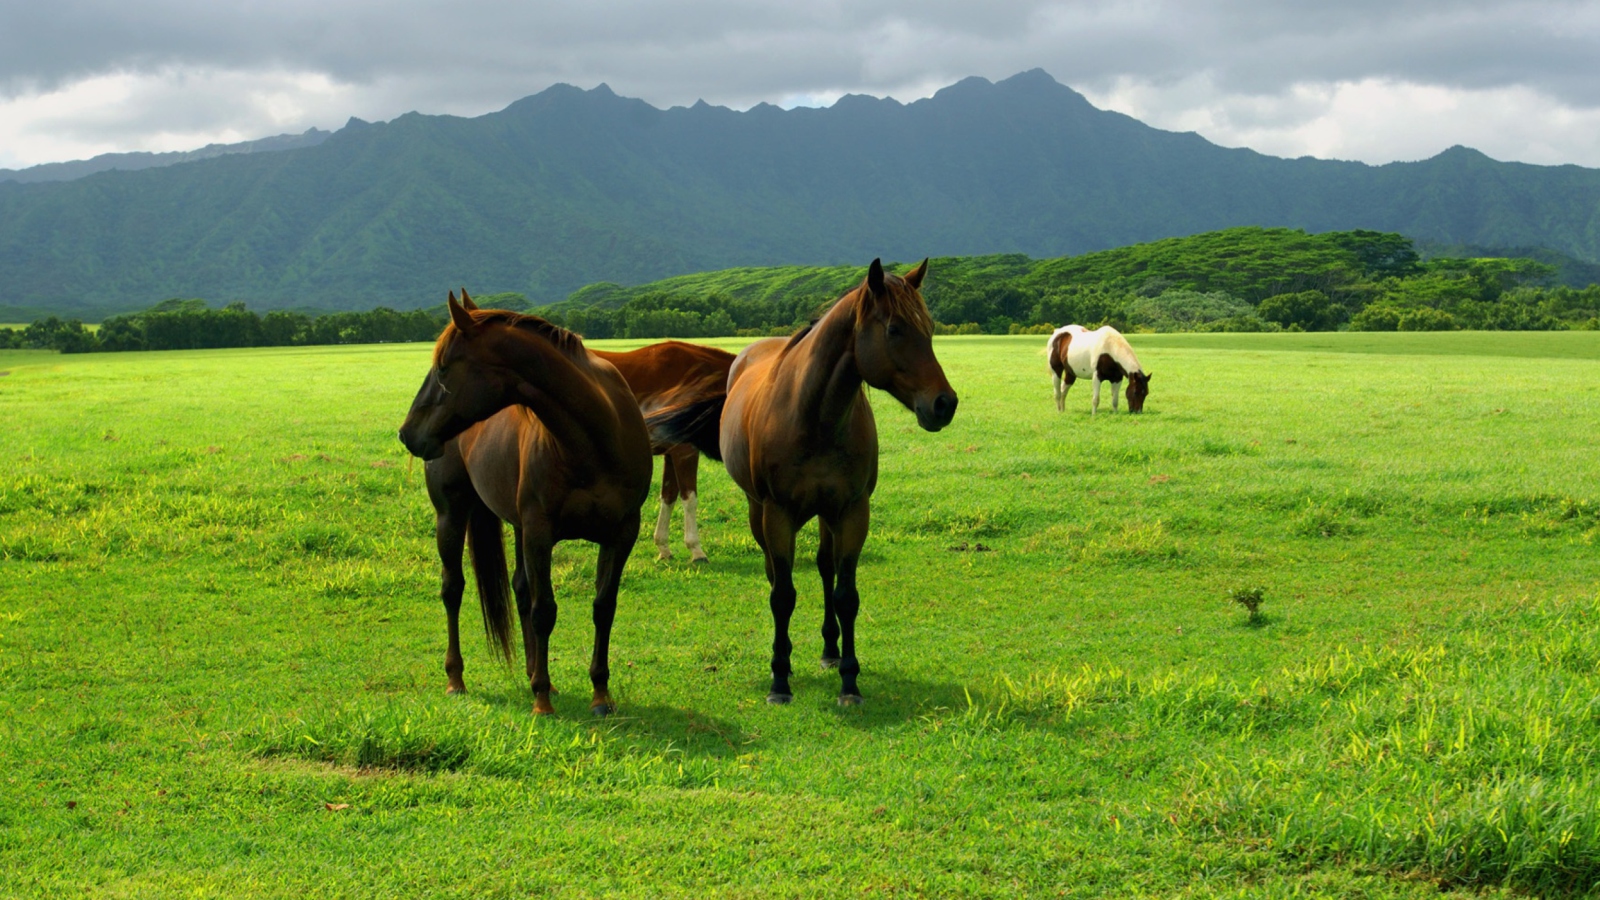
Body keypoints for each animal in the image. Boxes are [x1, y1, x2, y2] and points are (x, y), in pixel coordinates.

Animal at [398, 291, 649, 711]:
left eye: (444, 369)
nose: (407, 434)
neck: (596, 439)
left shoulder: (622, 532)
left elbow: (603, 607)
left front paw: (600, 693)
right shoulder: (539, 531)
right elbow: (544, 609)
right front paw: (542, 700)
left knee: (519, 588)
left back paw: (534, 674)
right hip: (452, 516)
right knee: (453, 589)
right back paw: (457, 679)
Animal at [595, 337, 736, 557]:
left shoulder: (671, 454)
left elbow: (668, 497)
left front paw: (663, 547)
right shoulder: (685, 452)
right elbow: (689, 498)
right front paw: (696, 550)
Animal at [646, 256, 947, 704]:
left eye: (928, 328)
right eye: (895, 329)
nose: (945, 403)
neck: (815, 415)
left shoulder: (852, 511)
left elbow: (845, 594)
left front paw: (849, 679)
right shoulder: (778, 513)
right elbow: (783, 595)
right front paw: (779, 678)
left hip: (825, 514)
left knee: (824, 568)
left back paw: (829, 650)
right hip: (758, 511)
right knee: (775, 573)